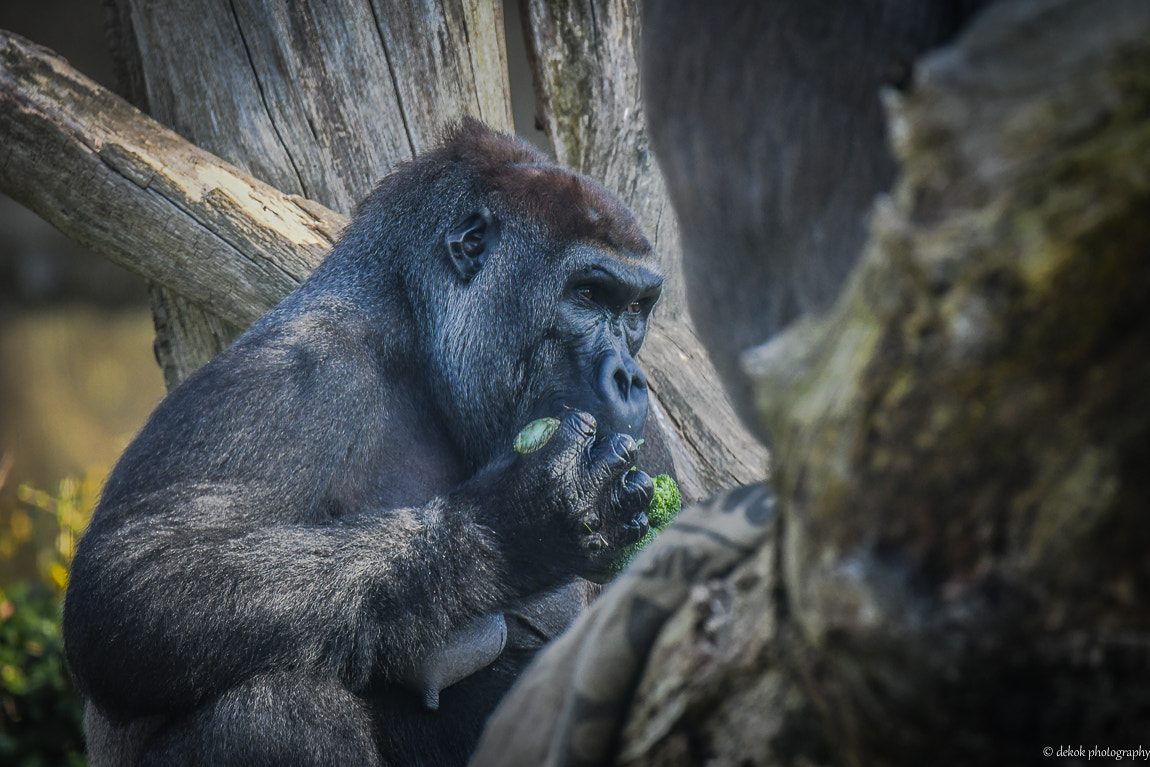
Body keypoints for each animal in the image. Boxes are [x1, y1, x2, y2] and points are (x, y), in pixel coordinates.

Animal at [65, 117, 667, 763]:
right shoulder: (299, 366)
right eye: (586, 295)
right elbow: (136, 578)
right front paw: (514, 526)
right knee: (271, 708)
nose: (629, 378)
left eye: (635, 309)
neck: (421, 343)